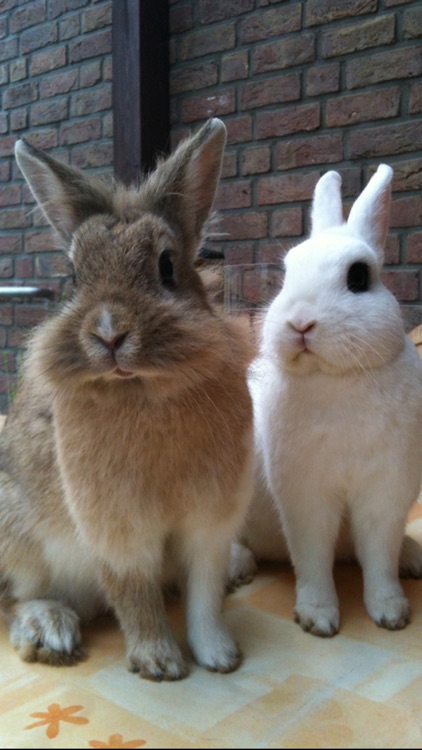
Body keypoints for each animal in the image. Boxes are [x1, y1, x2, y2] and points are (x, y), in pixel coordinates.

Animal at [0, 117, 255, 681]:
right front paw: (159, 662)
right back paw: (50, 628)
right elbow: (135, 593)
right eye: (75, 277)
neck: (144, 388)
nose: (110, 334)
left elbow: (205, 596)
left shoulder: (210, 525)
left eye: (167, 267)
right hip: (17, 539)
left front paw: (219, 656)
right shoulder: (117, 531)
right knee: (19, 597)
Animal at [230, 165, 422, 637]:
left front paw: (391, 612)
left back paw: (412, 558)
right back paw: (237, 568)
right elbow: (313, 556)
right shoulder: (305, 496)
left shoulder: (385, 493)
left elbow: (379, 557)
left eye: (358, 278)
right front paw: (318, 617)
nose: (300, 322)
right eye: (286, 274)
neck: (336, 377)